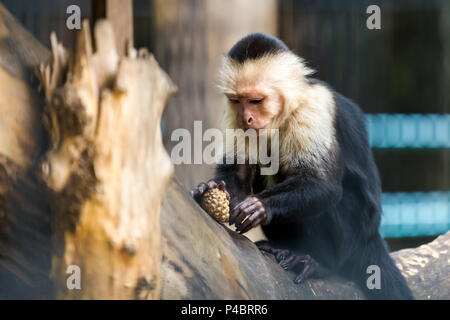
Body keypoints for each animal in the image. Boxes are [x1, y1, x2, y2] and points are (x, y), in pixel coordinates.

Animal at [192, 33, 414, 300]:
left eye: (256, 100)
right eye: (236, 101)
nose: (247, 119)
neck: (284, 113)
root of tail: (371, 238)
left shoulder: (312, 111)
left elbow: (322, 183)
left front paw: (260, 205)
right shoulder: (233, 117)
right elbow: (238, 171)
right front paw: (211, 190)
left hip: (353, 240)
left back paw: (320, 264)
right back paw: (282, 249)